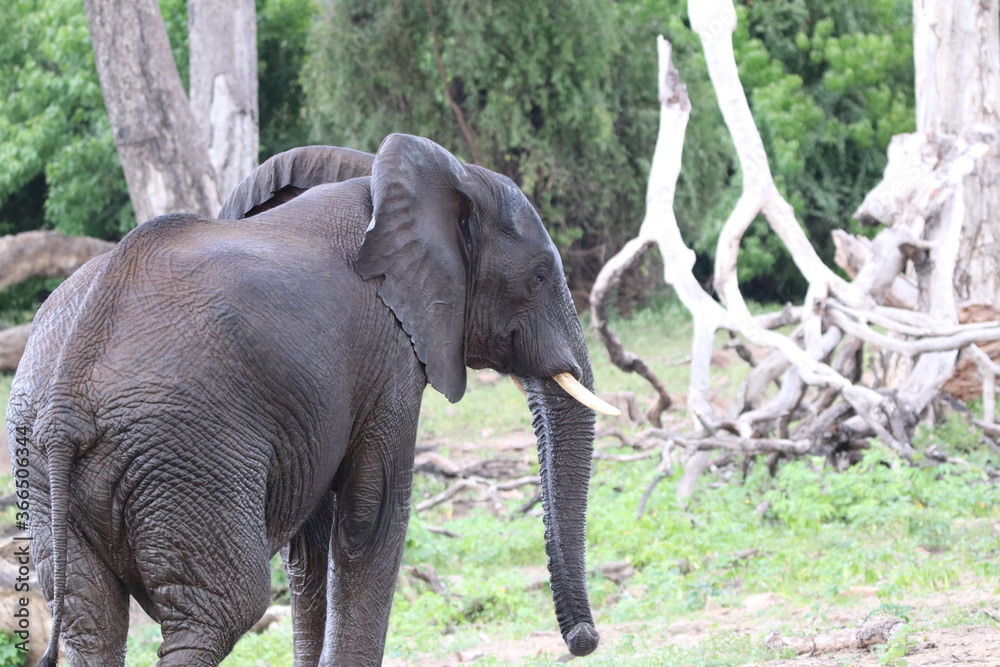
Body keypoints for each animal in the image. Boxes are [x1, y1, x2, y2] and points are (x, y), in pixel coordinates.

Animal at [6, 133, 617, 666]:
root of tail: (66, 400)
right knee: (220, 611)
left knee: (90, 619)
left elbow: (310, 545)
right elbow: (372, 516)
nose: (584, 640)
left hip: (45, 466)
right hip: (186, 453)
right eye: (539, 277)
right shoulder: (389, 350)